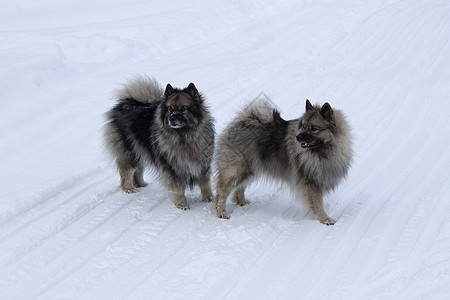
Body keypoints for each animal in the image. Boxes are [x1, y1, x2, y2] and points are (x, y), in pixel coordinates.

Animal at [103, 75, 214, 210]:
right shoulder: (172, 168)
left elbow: (205, 184)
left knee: (138, 170)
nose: (172, 118)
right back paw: (129, 190)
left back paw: (141, 184)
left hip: (141, 150)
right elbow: (178, 189)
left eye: (183, 109)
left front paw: (209, 199)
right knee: (127, 173)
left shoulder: (203, 164)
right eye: (170, 109)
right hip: (130, 153)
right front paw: (182, 205)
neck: (184, 137)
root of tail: (127, 102)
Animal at [213, 95, 354, 224]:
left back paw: (242, 202)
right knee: (222, 191)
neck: (323, 152)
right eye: (303, 126)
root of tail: (242, 122)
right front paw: (325, 219)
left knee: (240, 187)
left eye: (314, 128)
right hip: (239, 169)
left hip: (252, 169)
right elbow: (317, 203)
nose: (298, 137)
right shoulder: (310, 183)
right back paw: (221, 212)